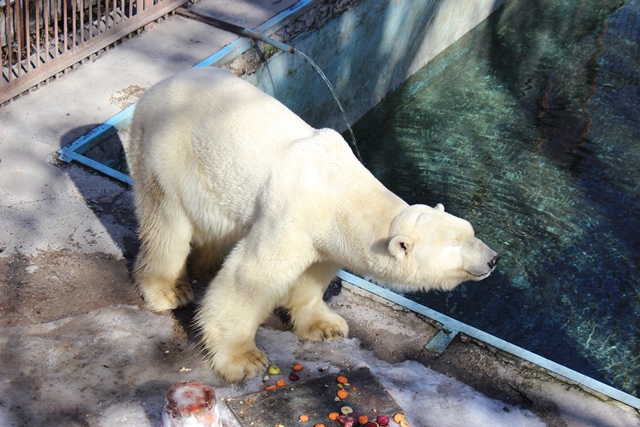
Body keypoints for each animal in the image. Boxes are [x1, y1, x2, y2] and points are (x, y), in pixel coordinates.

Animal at [125, 68, 496, 382]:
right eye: (455, 244)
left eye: (471, 232)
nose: (493, 259)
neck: (342, 192)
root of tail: (153, 91)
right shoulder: (292, 216)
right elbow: (252, 276)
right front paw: (243, 360)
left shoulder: (325, 236)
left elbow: (314, 273)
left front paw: (326, 326)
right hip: (169, 156)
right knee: (167, 224)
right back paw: (169, 291)